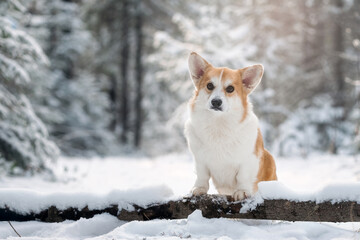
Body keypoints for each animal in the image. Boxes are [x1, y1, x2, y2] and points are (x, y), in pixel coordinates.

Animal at [184, 52, 278, 201]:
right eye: (209, 86)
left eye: (230, 89)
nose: (216, 102)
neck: (219, 123)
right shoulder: (199, 159)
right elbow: (202, 175)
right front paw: (199, 188)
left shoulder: (249, 159)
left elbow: (243, 176)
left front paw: (242, 191)